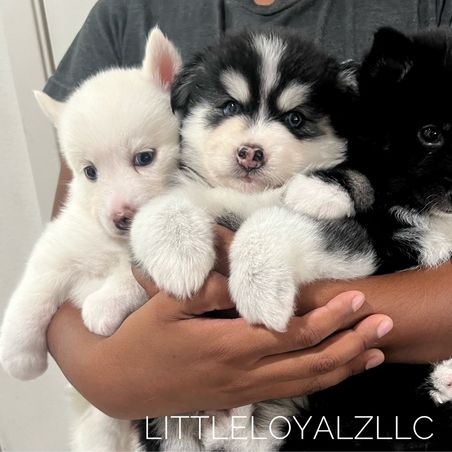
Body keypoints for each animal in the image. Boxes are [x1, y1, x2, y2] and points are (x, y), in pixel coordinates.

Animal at [0, 27, 182, 451]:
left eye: (144, 158)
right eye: (89, 172)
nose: (121, 218)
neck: (114, 246)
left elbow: (129, 277)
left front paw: (102, 306)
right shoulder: (62, 243)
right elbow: (34, 289)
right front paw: (18, 352)